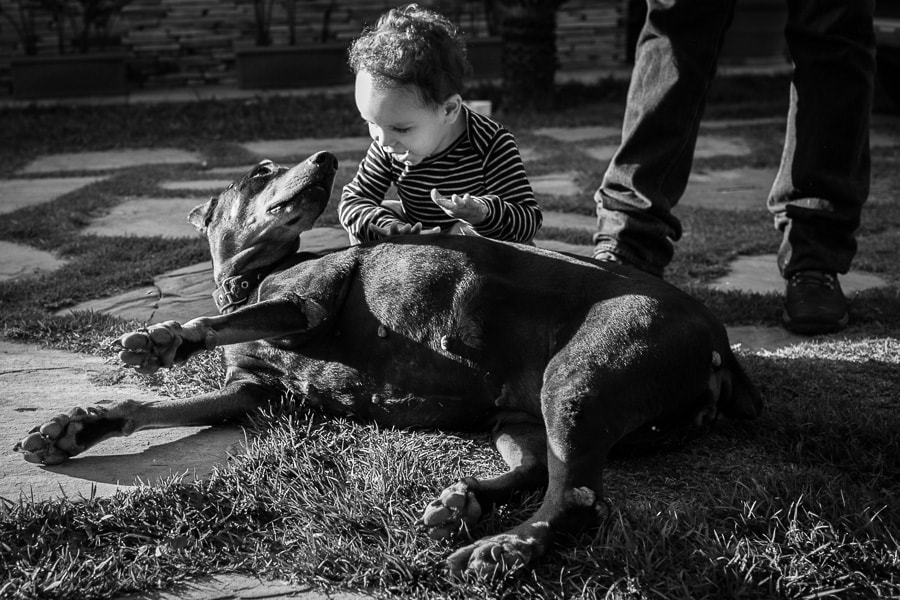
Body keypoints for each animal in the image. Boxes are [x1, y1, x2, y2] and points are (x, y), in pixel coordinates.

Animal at [14, 150, 760, 576]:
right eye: (258, 173)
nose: (325, 156)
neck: (253, 275)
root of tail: (719, 339)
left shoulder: (306, 306)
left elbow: (209, 323)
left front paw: (165, 338)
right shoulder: (250, 394)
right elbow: (146, 406)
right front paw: (76, 427)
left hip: (579, 379)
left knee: (576, 497)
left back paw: (504, 547)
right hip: (519, 413)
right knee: (535, 468)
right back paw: (463, 501)